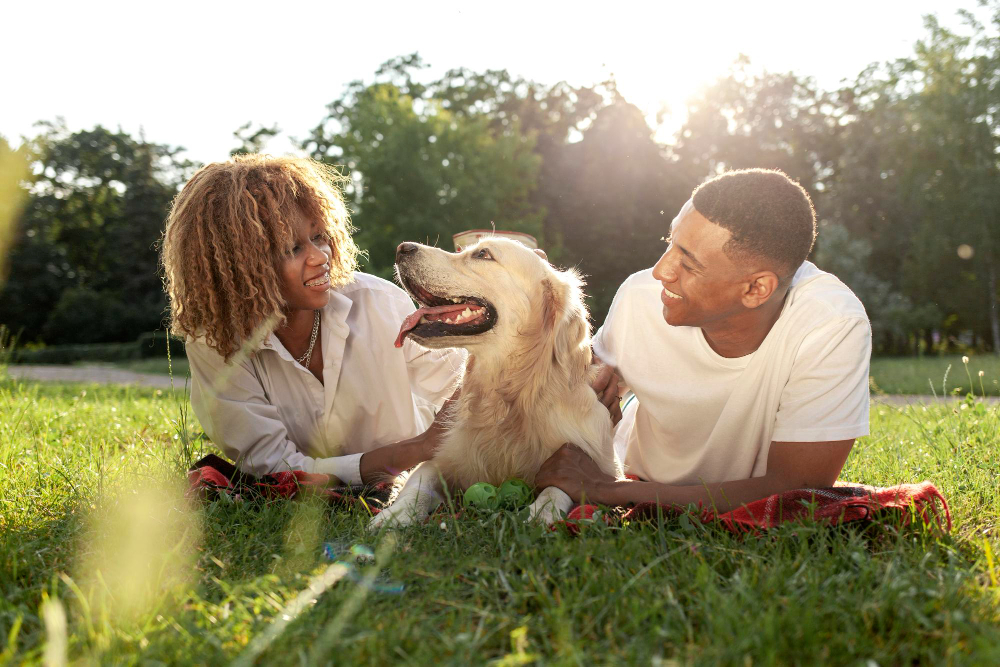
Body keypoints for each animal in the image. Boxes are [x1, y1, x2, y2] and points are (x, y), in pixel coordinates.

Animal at [370, 237, 616, 528]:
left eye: (483, 254)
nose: (402, 248)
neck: (509, 398)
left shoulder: (596, 461)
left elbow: (560, 486)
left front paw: (540, 512)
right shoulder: (441, 458)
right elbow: (418, 484)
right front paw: (394, 514)